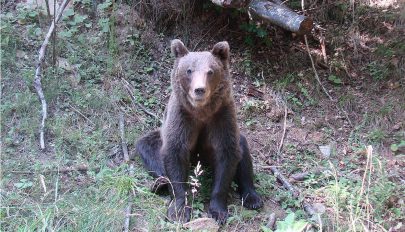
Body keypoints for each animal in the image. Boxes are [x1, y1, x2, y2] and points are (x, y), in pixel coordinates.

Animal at [136, 39, 262, 224]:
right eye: (189, 70)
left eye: (210, 71)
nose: (199, 90)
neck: (201, 111)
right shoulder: (182, 117)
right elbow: (175, 152)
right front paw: (179, 210)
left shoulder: (221, 116)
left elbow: (227, 155)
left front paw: (218, 210)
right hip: (158, 137)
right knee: (147, 147)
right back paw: (160, 183)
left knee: (243, 151)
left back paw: (252, 198)